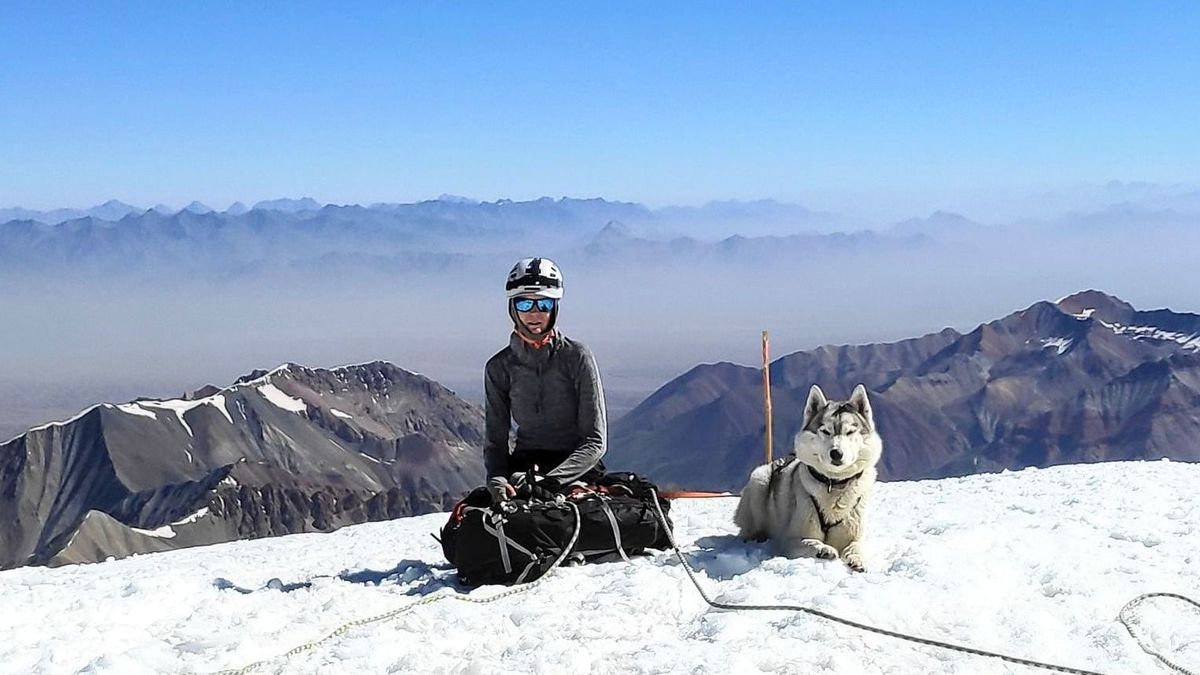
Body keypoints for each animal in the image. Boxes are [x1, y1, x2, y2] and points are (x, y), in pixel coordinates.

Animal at [729, 384, 883, 566]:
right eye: (825, 431)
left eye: (850, 432)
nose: (836, 453)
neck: (833, 483)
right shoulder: (791, 539)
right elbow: (810, 541)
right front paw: (824, 549)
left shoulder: (854, 532)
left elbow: (856, 545)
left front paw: (857, 559)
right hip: (759, 483)